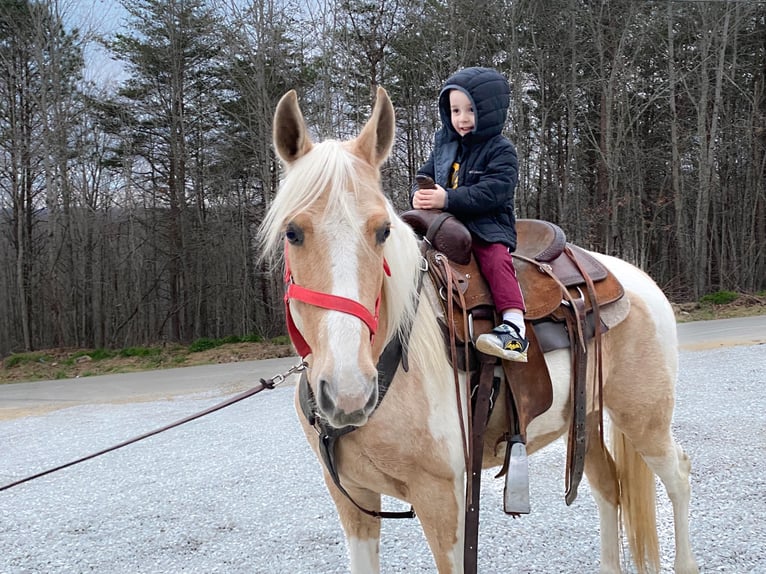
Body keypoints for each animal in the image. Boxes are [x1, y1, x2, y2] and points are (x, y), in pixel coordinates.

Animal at [260, 86, 704, 574]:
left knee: (679, 475)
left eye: (382, 231)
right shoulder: (352, 500)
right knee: (610, 488)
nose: (348, 392)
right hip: (585, 419)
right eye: (292, 232)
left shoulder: (444, 500)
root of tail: (639, 281)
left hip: (644, 420)